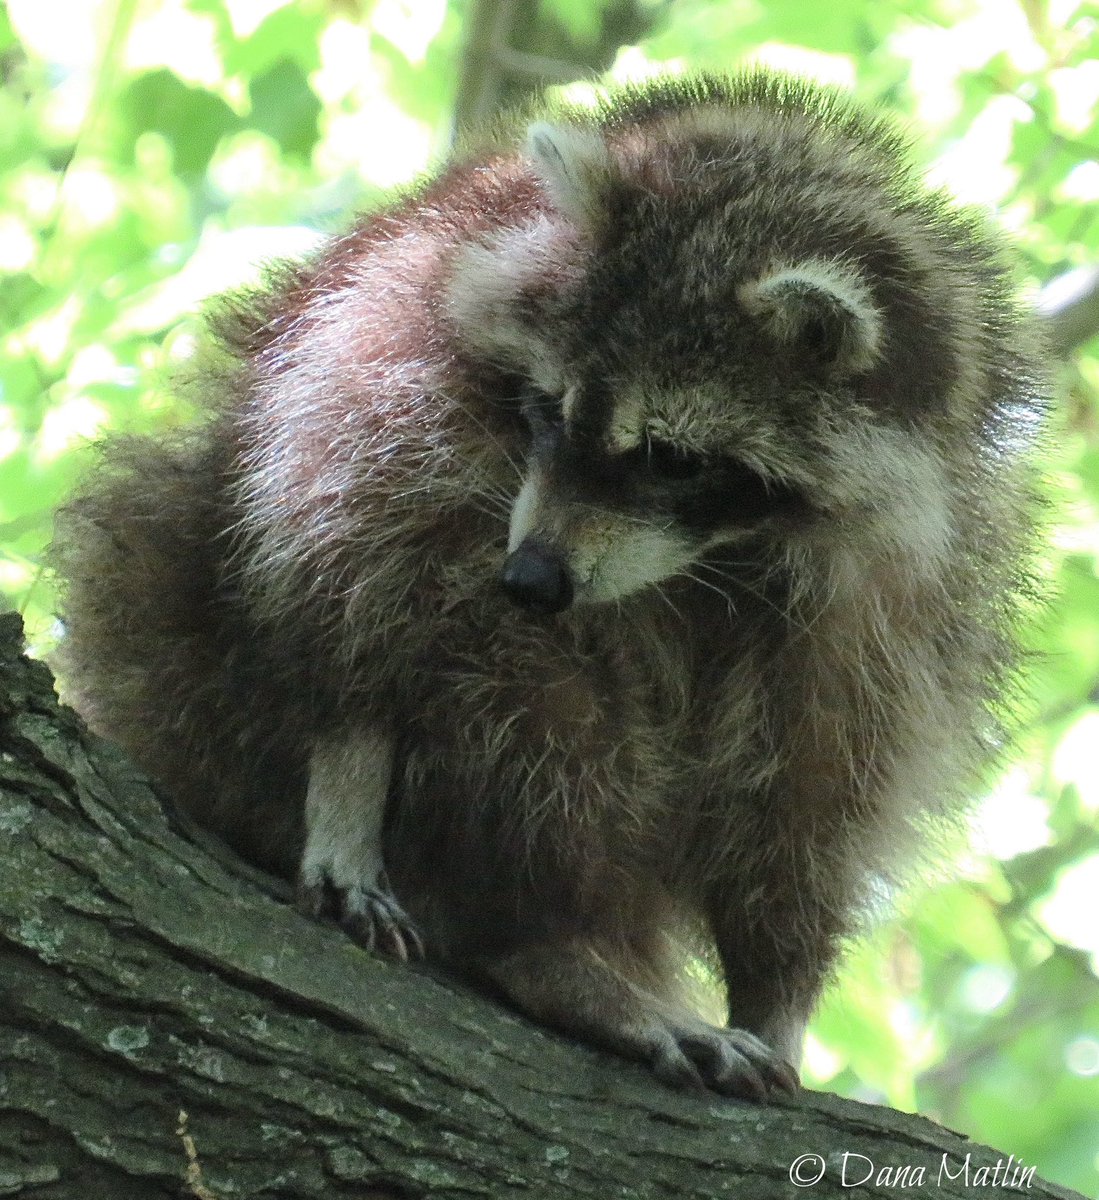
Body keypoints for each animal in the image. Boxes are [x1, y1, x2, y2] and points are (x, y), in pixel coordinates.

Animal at [51, 72, 1045, 1100]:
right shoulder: (397, 322)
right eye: (549, 407)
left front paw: (778, 983)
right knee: (509, 692)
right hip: (183, 648)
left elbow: (817, 782)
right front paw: (349, 755)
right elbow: (342, 551)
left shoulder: (905, 581)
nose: (530, 575)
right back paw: (546, 939)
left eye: (668, 457)